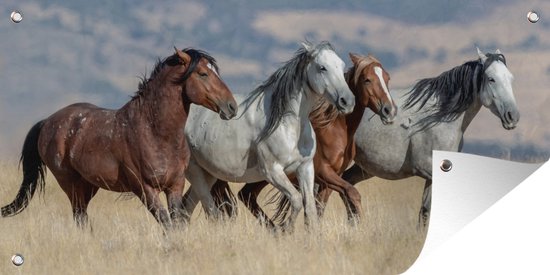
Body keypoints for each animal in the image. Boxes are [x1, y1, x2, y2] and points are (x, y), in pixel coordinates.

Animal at [2, 48, 239, 231]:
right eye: (202, 73)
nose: (231, 107)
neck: (154, 132)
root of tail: (47, 122)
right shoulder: (145, 189)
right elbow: (166, 224)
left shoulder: (175, 186)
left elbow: (175, 222)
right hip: (70, 184)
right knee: (79, 217)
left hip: (89, 186)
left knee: (82, 217)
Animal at [182, 41, 354, 231]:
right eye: (322, 67)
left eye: (342, 66)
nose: (347, 101)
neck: (288, 124)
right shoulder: (273, 171)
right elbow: (296, 200)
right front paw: (285, 230)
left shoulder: (306, 168)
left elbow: (310, 208)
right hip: (194, 171)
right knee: (206, 207)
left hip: (208, 173)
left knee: (187, 206)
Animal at [205, 53, 398, 226]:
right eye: (367, 80)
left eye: (387, 78)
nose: (389, 110)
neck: (334, 130)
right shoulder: (324, 173)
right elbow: (352, 193)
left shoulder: (329, 179)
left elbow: (319, 209)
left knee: (246, 196)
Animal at [328, 48, 520, 227]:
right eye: (491, 79)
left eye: (511, 78)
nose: (513, 116)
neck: (440, 117)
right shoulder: (429, 170)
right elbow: (427, 210)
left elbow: (425, 212)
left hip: (364, 168)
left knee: (346, 185)